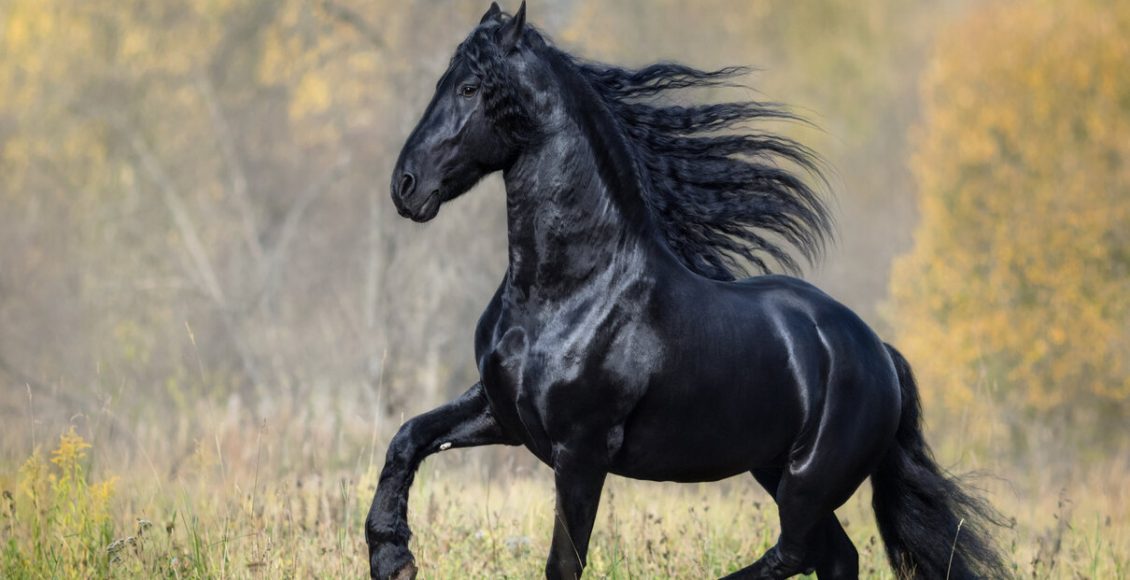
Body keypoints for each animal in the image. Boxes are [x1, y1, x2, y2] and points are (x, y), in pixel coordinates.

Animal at [366, 3, 1007, 578]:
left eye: (470, 87)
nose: (405, 185)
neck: (567, 293)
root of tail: (881, 354)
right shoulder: (502, 413)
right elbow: (408, 437)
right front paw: (391, 558)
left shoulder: (582, 452)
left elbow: (564, 563)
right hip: (773, 468)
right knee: (833, 557)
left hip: (808, 479)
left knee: (796, 552)